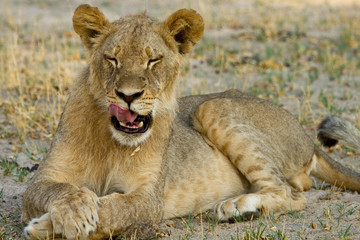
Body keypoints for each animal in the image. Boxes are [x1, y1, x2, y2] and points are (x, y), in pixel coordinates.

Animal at [21, 4, 360, 240]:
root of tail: (308, 141)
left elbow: (116, 209)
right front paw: (75, 213)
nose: (128, 95)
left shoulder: (149, 197)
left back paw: (237, 208)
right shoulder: (44, 178)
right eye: (112, 59)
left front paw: (48, 227)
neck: (111, 140)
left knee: (292, 194)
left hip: (212, 107)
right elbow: (60, 191)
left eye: (153, 60)